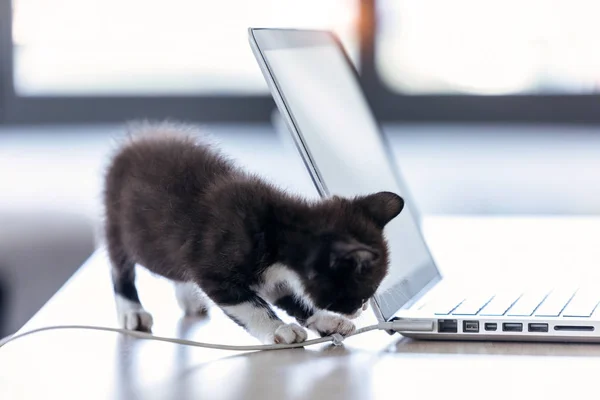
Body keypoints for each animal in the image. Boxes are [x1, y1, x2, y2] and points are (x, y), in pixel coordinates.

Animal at [104, 122, 404, 344]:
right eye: (362, 295)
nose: (361, 309)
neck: (276, 228)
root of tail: (132, 142)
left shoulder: (274, 277)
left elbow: (293, 298)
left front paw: (326, 321)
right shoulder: (215, 271)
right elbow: (250, 305)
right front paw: (277, 329)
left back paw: (188, 297)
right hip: (120, 226)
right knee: (121, 267)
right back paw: (132, 310)